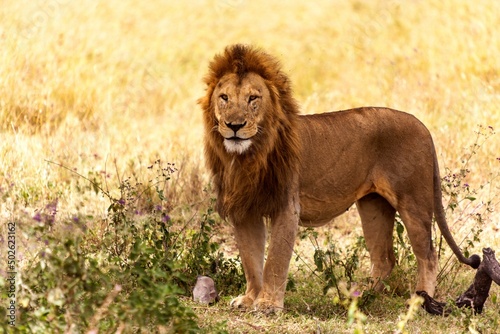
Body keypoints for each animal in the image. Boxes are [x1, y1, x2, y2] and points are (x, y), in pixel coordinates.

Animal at [197, 43, 478, 312]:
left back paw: (420, 301)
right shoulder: (245, 209)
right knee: (384, 259)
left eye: (253, 98)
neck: (248, 157)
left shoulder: (286, 206)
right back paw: (361, 297)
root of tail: (423, 126)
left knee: (428, 255)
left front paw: (268, 305)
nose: (234, 126)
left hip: (413, 201)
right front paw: (249, 299)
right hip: (374, 206)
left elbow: (274, 260)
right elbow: (250, 259)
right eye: (224, 98)